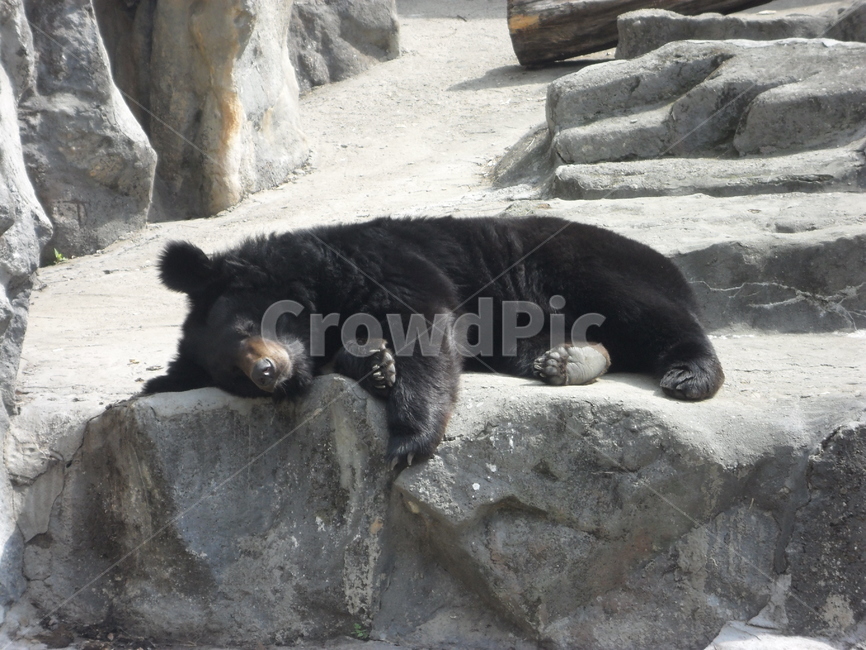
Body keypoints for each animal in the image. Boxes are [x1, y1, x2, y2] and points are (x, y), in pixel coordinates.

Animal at [144, 215, 724, 464]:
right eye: (233, 377)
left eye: (245, 329)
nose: (267, 373)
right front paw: (374, 364)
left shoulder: (376, 259)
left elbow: (420, 318)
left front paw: (408, 439)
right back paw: (568, 359)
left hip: (576, 260)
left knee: (647, 311)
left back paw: (689, 373)